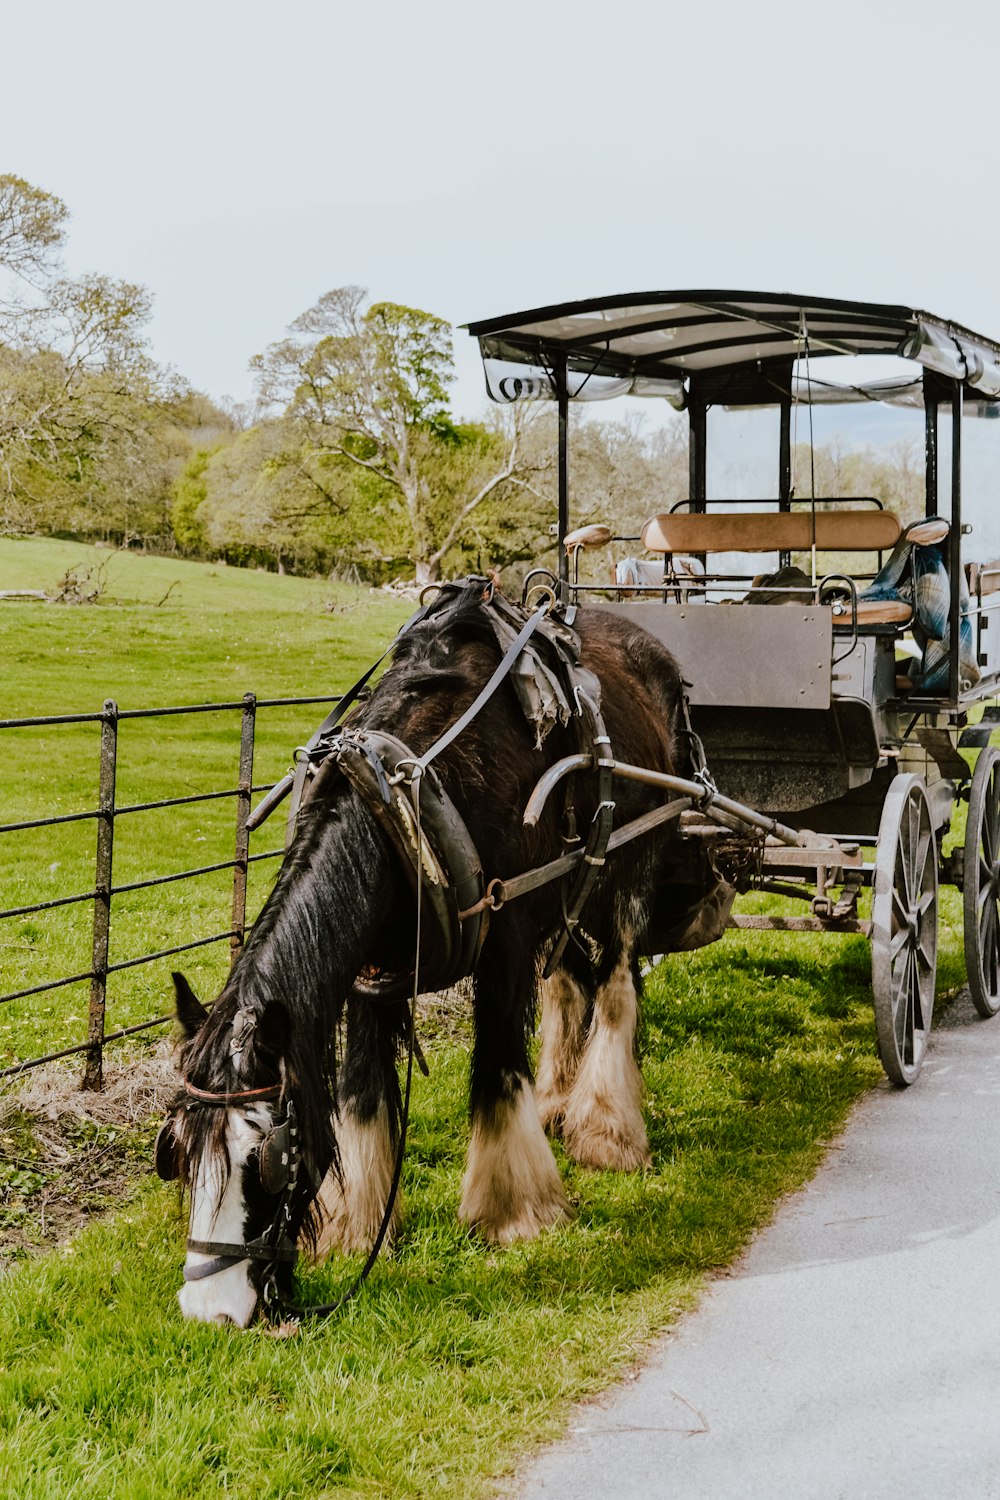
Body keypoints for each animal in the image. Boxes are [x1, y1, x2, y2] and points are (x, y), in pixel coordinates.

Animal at [158, 576, 689, 1326]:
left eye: (266, 1159)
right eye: (176, 1150)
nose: (209, 1310)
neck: (405, 795)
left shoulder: (506, 934)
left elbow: (496, 1068)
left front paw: (514, 1211)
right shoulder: (369, 969)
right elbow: (359, 1092)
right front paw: (359, 1225)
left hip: (631, 864)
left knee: (615, 986)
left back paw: (607, 1129)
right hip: (567, 888)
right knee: (570, 983)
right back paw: (560, 1101)